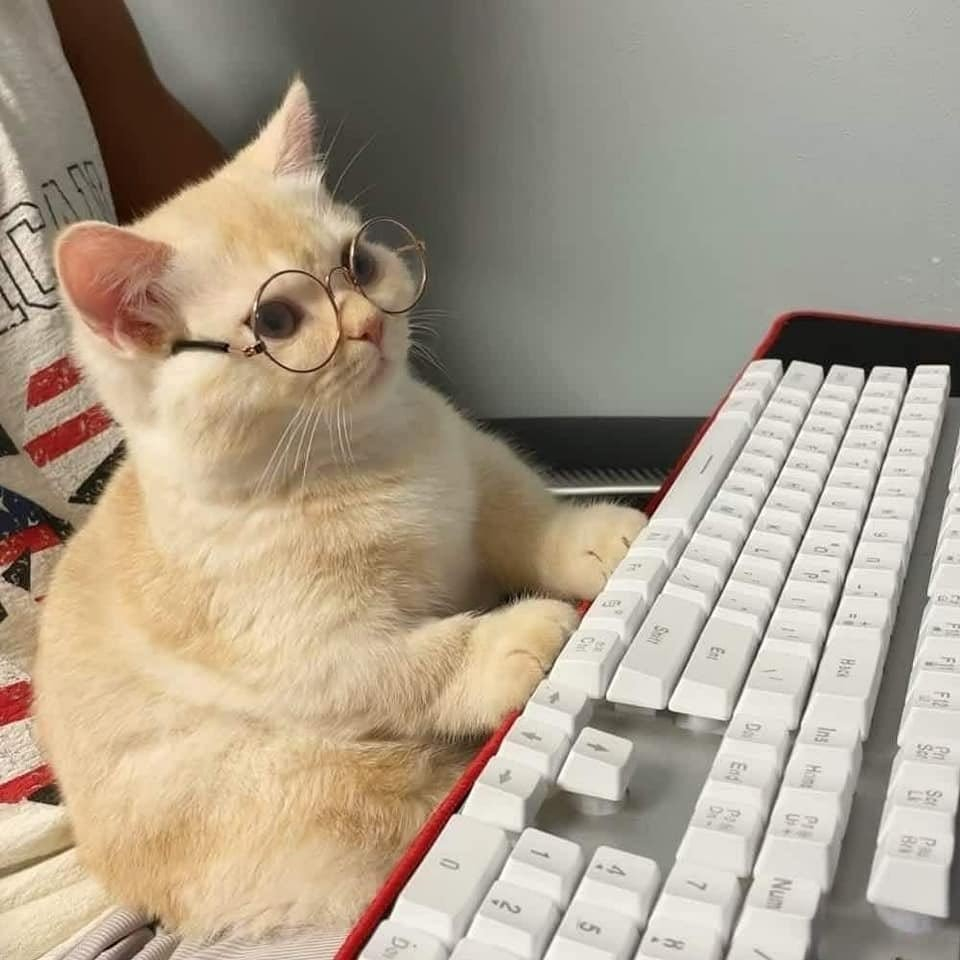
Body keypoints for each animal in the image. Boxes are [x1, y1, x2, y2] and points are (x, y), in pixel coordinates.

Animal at [31, 80, 644, 936]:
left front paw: (589, 537)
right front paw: (507, 640)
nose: (369, 323)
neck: (367, 457)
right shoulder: (313, 657)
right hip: (295, 784)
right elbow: (409, 665)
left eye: (358, 262)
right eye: (277, 321)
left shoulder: (472, 464)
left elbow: (522, 515)